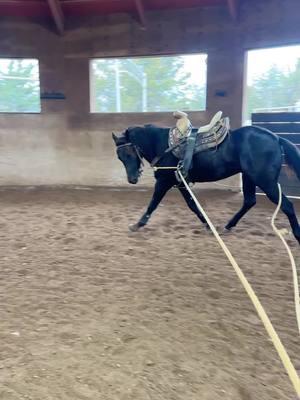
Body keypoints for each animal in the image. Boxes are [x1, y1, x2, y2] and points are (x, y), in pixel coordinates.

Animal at [112, 125, 300, 242]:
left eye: (129, 153)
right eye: (119, 157)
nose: (132, 179)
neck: (163, 145)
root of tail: (276, 138)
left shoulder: (164, 181)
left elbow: (153, 203)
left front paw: (137, 224)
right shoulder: (181, 183)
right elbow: (193, 205)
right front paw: (208, 225)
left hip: (265, 181)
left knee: (287, 205)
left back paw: (297, 234)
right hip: (249, 177)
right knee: (249, 201)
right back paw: (228, 226)